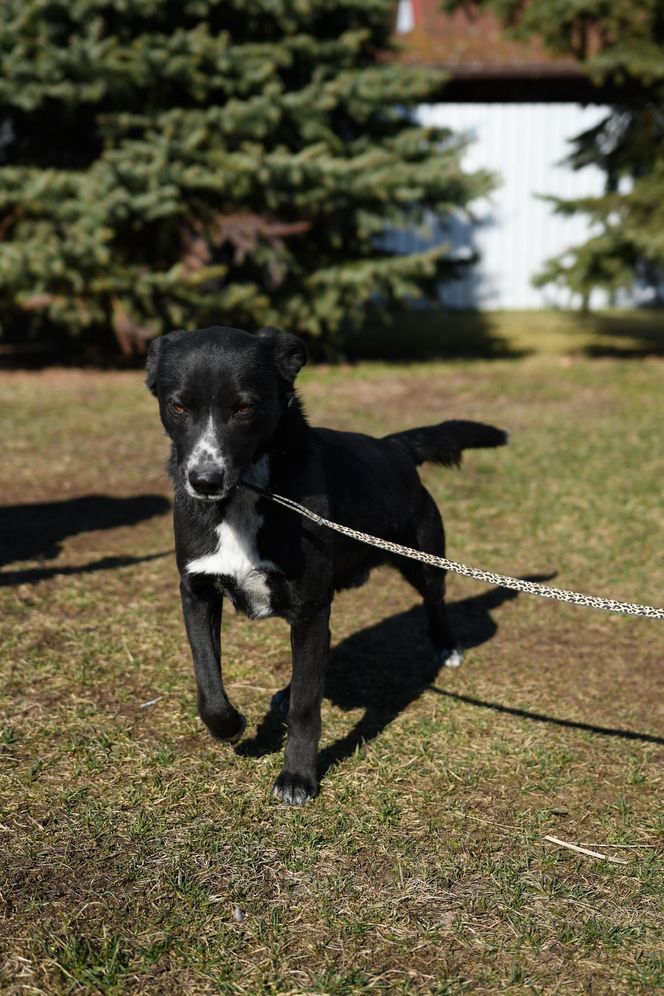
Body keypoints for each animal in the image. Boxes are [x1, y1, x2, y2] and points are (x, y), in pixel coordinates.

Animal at [147, 322, 508, 804]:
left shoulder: (311, 608)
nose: (204, 481)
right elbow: (209, 683)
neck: (248, 494)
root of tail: (393, 447)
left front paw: (298, 777)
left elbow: (306, 707)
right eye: (179, 406)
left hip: (422, 560)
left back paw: (447, 645)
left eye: (244, 407)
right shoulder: (197, 591)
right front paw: (233, 725)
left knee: (435, 598)